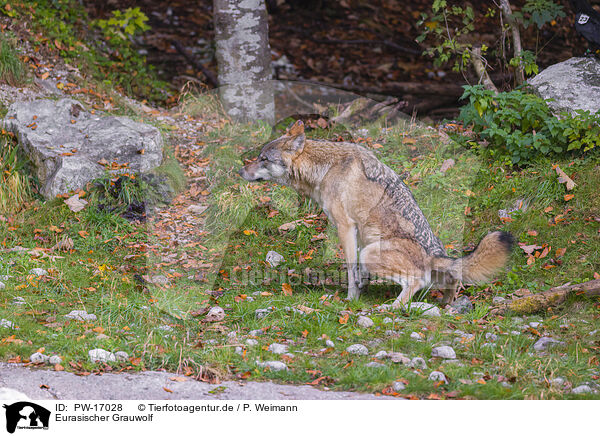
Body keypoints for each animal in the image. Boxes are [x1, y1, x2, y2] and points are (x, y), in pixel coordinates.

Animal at [238, 121, 510, 308]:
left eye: (263, 159)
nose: (241, 171)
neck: (325, 169)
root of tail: (436, 254)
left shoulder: (345, 227)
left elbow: (350, 271)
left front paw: (351, 299)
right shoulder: (358, 232)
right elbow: (358, 274)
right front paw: (361, 290)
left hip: (371, 253)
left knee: (415, 282)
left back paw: (391, 307)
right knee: (452, 280)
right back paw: (446, 303)